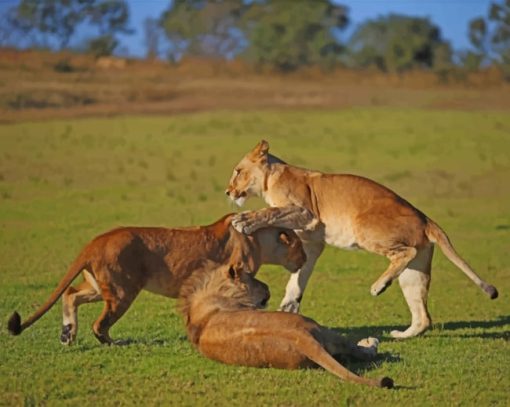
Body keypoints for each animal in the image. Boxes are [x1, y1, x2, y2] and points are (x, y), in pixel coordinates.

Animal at [5, 210, 306, 348]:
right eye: (299, 247)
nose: (304, 259)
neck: (259, 239)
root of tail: (94, 242)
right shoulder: (238, 274)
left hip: (100, 287)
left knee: (70, 295)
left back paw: (67, 335)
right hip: (122, 291)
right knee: (99, 324)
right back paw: (113, 343)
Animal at [179, 262, 394, 390]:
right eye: (252, 277)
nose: (268, 288)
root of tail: (301, 337)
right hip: (321, 328)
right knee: (360, 351)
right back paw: (371, 343)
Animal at [227, 142, 498, 340]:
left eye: (238, 171)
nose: (228, 192)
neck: (270, 179)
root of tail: (425, 218)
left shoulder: (306, 212)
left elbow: (270, 212)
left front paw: (244, 220)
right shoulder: (311, 241)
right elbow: (298, 278)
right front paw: (288, 307)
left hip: (363, 227)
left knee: (405, 252)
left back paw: (379, 286)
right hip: (415, 270)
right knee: (423, 316)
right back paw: (401, 334)